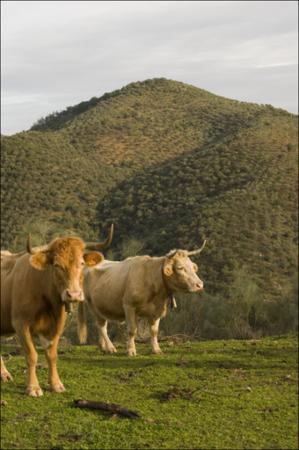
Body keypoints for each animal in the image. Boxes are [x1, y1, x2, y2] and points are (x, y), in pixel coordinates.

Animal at [0, 227, 113, 396]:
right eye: (57, 265)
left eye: (81, 263)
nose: (74, 294)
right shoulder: (21, 324)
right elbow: (31, 355)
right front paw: (33, 387)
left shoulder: (57, 326)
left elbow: (52, 355)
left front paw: (56, 384)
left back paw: (4, 374)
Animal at [78, 241, 207, 356]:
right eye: (180, 268)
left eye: (193, 267)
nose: (199, 284)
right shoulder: (129, 306)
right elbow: (132, 330)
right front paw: (131, 350)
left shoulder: (157, 310)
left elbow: (154, 331)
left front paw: (156, 350)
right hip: (92, 305)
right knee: (102, 327)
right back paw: (110, 348)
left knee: (101, 326)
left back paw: (103, 347)